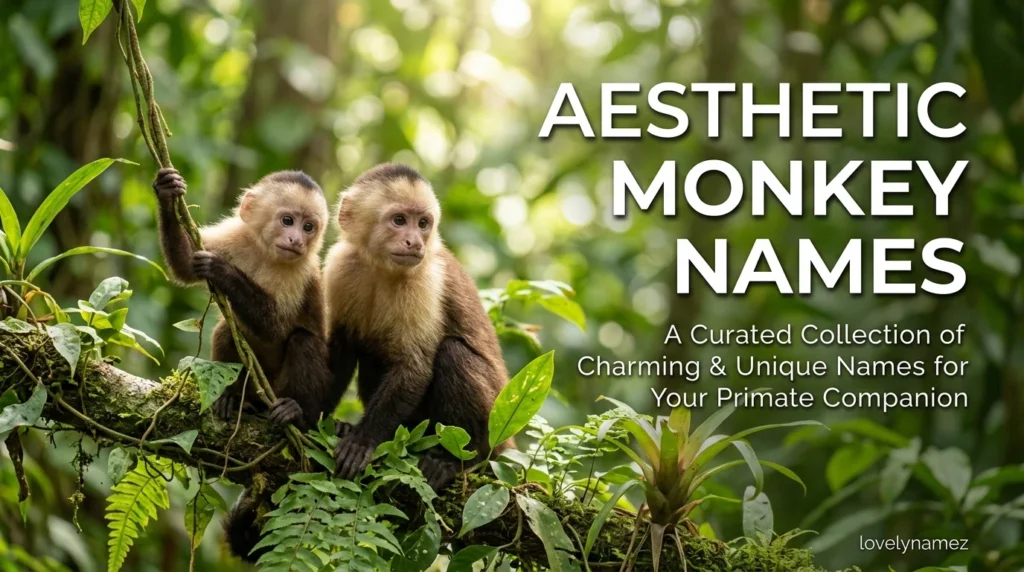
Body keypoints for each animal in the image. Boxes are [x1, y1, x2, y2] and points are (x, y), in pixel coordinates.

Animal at [152, 168, 338, 561]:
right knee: (227, 328)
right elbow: (186, 264)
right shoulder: (234, 237)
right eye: (288, 220)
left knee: (303, 340)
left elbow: (276, 326)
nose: (297, 240)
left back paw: (294, 414)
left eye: (309, 227)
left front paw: (224, 272)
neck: (266, 255)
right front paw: (166, 190)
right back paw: (236, 401)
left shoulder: (299, 271)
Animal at [323, 163, 512, 490]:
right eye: (399, 220)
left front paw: (362, 440)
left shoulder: (424, 282)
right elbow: (341, 349)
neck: (380, 268)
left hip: (498, 422)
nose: (415, 242)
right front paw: (304, 410)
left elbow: (415, 366)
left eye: (423, 223)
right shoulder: (339, 267)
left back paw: (458, 460)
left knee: (452, 354)